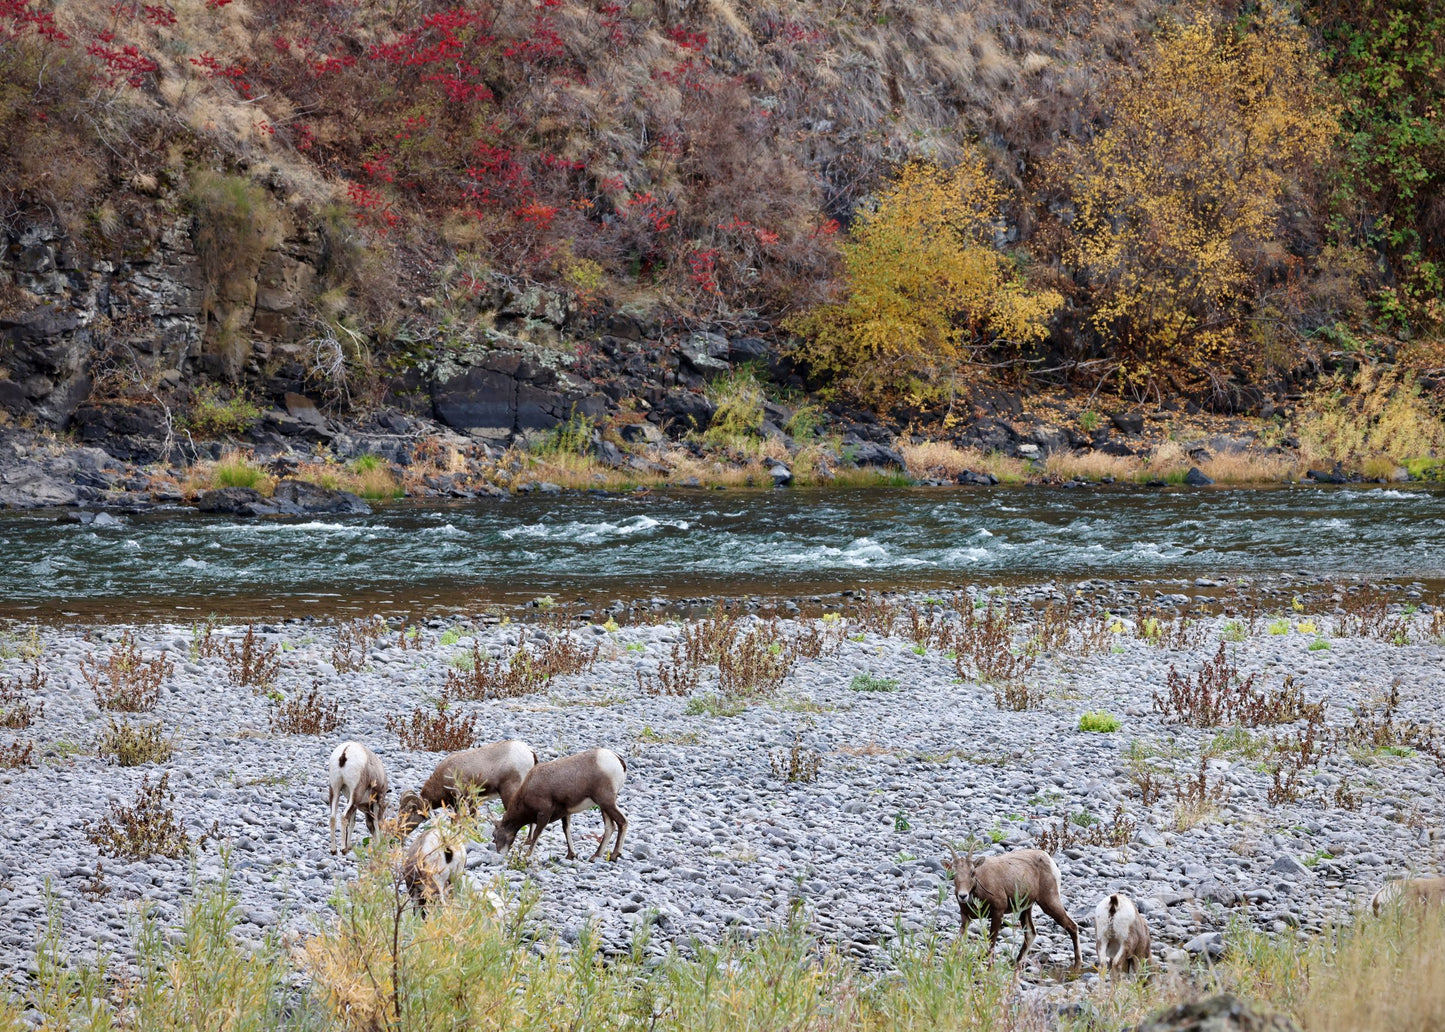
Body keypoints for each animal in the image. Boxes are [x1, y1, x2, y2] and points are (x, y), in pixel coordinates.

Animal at [491, 745, 627, 861]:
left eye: (494, 835)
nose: (499, 853)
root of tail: (617, 759)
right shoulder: (565, 813)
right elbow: (566, 829)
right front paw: (570, 855)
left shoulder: (544, 813)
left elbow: (537, 833)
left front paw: (527, 855)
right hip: (603, 805)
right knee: (610, 827)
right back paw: (595, 856)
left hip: (606, 802)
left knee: (622, 822)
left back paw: (614, 855)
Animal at [942, 838, 1080, 971]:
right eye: (954, 874)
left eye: (972, 873)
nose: (963, 896)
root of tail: (1049, 861)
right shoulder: (966, 917)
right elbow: (958, 942)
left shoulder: (998, 913)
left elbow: (991, 944)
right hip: (1026, 909)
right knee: (1030, 933)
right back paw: (1015, 964)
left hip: (1049, 901)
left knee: (1072, 926)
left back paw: (1077, 965)